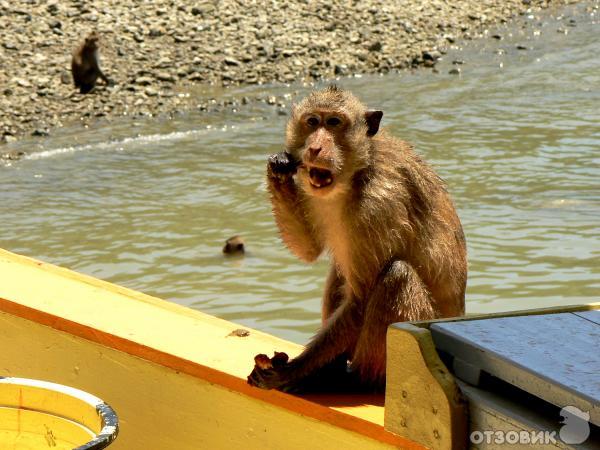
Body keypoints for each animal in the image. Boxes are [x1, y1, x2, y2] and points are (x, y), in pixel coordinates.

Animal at [246, 85, 466, 394]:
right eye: (312, 122)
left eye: (334, 123)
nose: (315, 148)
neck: (356, 174)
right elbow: (310, 250)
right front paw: (278, 167)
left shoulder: (377, 206)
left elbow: (360, 300)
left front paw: (290, 372)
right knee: (340, 271)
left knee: (396, 275)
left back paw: (355, 378)